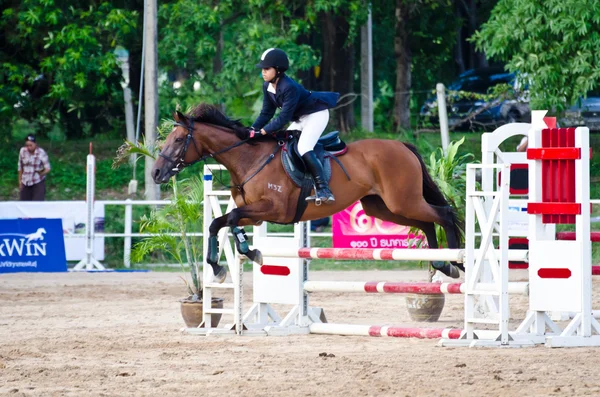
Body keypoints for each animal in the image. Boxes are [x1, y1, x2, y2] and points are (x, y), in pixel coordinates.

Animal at [154, 102, 464, 282]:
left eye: (178, 140)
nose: (156, 173)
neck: (249, 159)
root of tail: (402, 145)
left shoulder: (274, 209)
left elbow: (229, 220)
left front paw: (250, 252)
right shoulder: (255, 215)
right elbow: (218, 223)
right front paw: (218, 267)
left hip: (403, 201)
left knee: (445, 214)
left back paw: (456, 261)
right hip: (384, 206)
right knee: (427, 222)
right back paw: (442, 263)